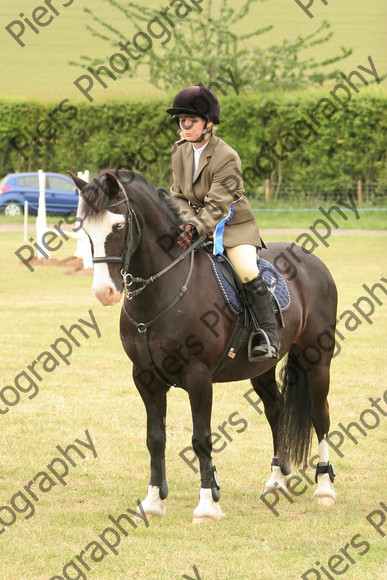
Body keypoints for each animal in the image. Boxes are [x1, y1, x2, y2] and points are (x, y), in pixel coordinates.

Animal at [71, 169, 338, 520]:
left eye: (118, 226)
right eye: (85, 228)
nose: (105, 292)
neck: (161, 290)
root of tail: (314, 261)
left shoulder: (198, 378)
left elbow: (201, 439)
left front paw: (208, 504)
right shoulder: (145, 378)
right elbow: (155, 439)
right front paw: (153, 501)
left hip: (317, 360)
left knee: (320, 416)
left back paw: (325, 487)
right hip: (261, 369)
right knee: (276, 411)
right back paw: (277, 479)